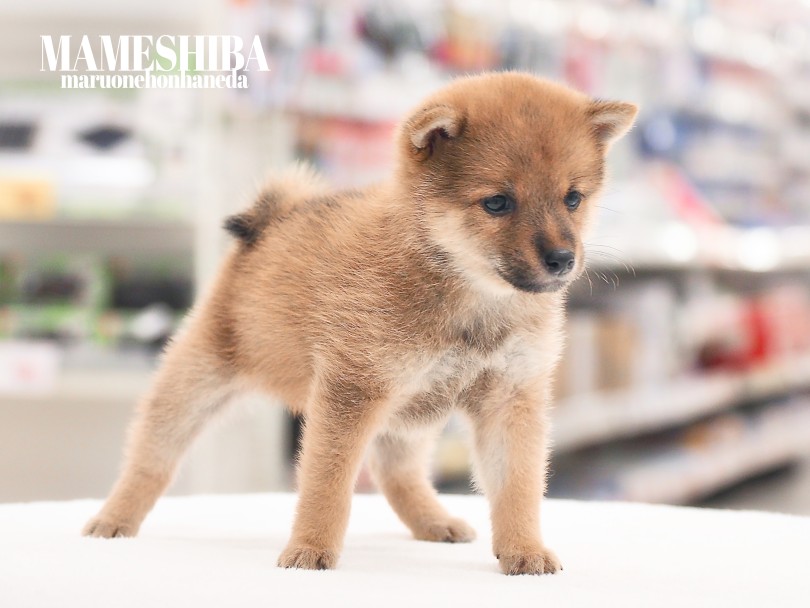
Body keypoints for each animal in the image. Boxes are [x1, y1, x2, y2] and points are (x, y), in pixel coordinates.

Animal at [83, 71, 636, 576]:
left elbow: (517, 486)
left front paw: (524, 549)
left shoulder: (511, 396)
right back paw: (114, 519)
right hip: (196, 382)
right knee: (151, 458)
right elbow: (327, 485)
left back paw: (434, 521)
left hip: (413, 413)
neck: (469, 298)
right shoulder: (352, 391)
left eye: (573, 198)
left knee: (396, 472)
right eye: (498, 202)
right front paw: (310, 549)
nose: (563, 259)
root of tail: (272, 219)